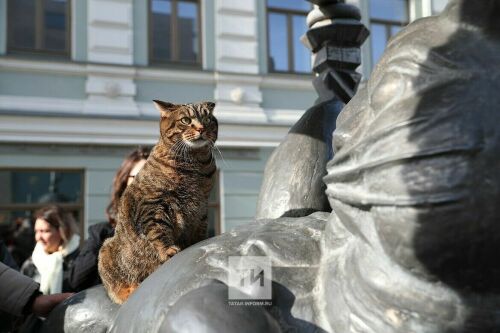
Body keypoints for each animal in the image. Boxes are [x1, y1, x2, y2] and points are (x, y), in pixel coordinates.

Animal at [97, 99, 217, 304]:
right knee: (116, 288)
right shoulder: (153, 204)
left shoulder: (201, 208)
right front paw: (168, 250)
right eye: (186, 120)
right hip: (105, 251)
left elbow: (199, 233)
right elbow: (158, 229)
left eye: (208, 119)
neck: (196, 165)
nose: (201, 128)